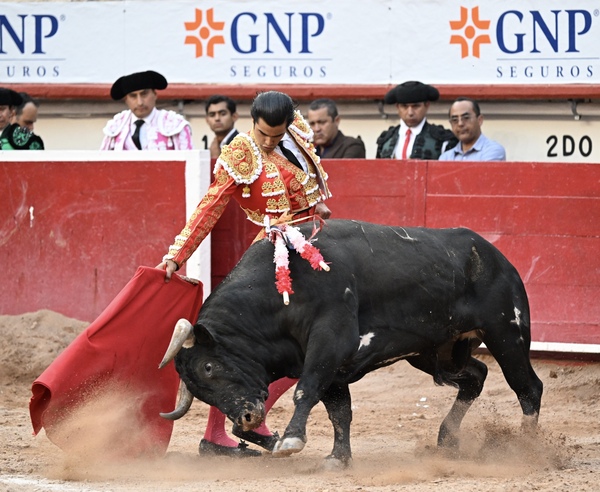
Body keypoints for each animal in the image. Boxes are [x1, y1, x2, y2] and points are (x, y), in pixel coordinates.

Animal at [160, 219, 543, 467]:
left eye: (209, 367)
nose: (247, 418)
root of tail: (497, 257)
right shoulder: (331, 365)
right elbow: (339, 411)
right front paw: (337, 457)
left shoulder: (329, 343)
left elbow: (305, 390)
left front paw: (291, 440)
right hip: (438, 352)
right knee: (476, 377)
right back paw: (447, 440)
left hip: (506, 334)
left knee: (527, 387)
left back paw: (527, 448)